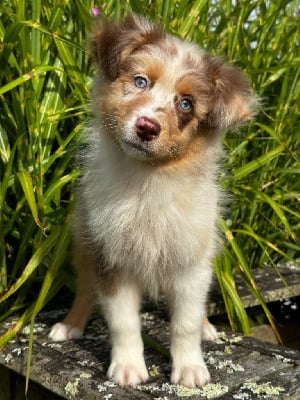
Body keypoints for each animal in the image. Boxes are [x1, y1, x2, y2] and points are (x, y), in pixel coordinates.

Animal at [49, 14, 255, 388]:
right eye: (140, 81)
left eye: (186, 103)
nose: (147, 127)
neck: (149, 182)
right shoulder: (111, 258)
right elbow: (123, 321)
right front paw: (128, 368)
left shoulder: (191, 261)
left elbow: (185, 322)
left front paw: (190, 369)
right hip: (84, 241)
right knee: (85, 288)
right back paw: (70, 324)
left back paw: (207, 327)